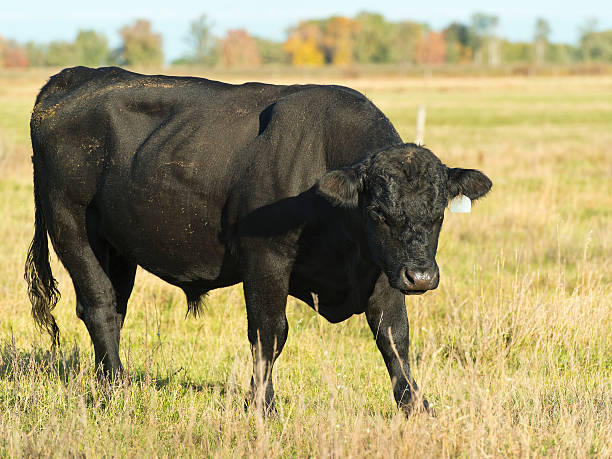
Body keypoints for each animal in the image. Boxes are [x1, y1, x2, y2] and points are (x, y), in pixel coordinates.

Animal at [25, 66, 492, 416]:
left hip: (118, 246)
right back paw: (117, 390)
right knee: (99, 305)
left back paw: (108, 381)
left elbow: (393, 335)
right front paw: (262, 405)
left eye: (438, 213)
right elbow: (269, 331)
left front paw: (417, 406)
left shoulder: (380, 269)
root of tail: (73, 78)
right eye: (377, 211)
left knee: (115, 309)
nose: (420, 277)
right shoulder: (266, 258)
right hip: (71, 226)